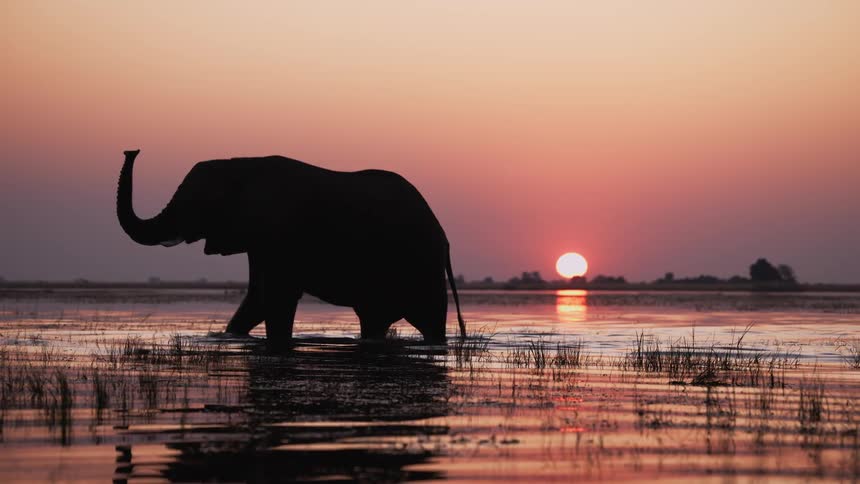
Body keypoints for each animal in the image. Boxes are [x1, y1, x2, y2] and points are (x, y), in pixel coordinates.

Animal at [116, 149, 466, 349]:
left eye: (195, 202)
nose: (132, 150)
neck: (241, 166)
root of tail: (444, 236)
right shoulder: (260, 238)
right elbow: (259, 297)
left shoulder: (277, 231)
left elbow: (275, 295)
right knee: (374, 319)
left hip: (419, 264)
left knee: (428, 319)